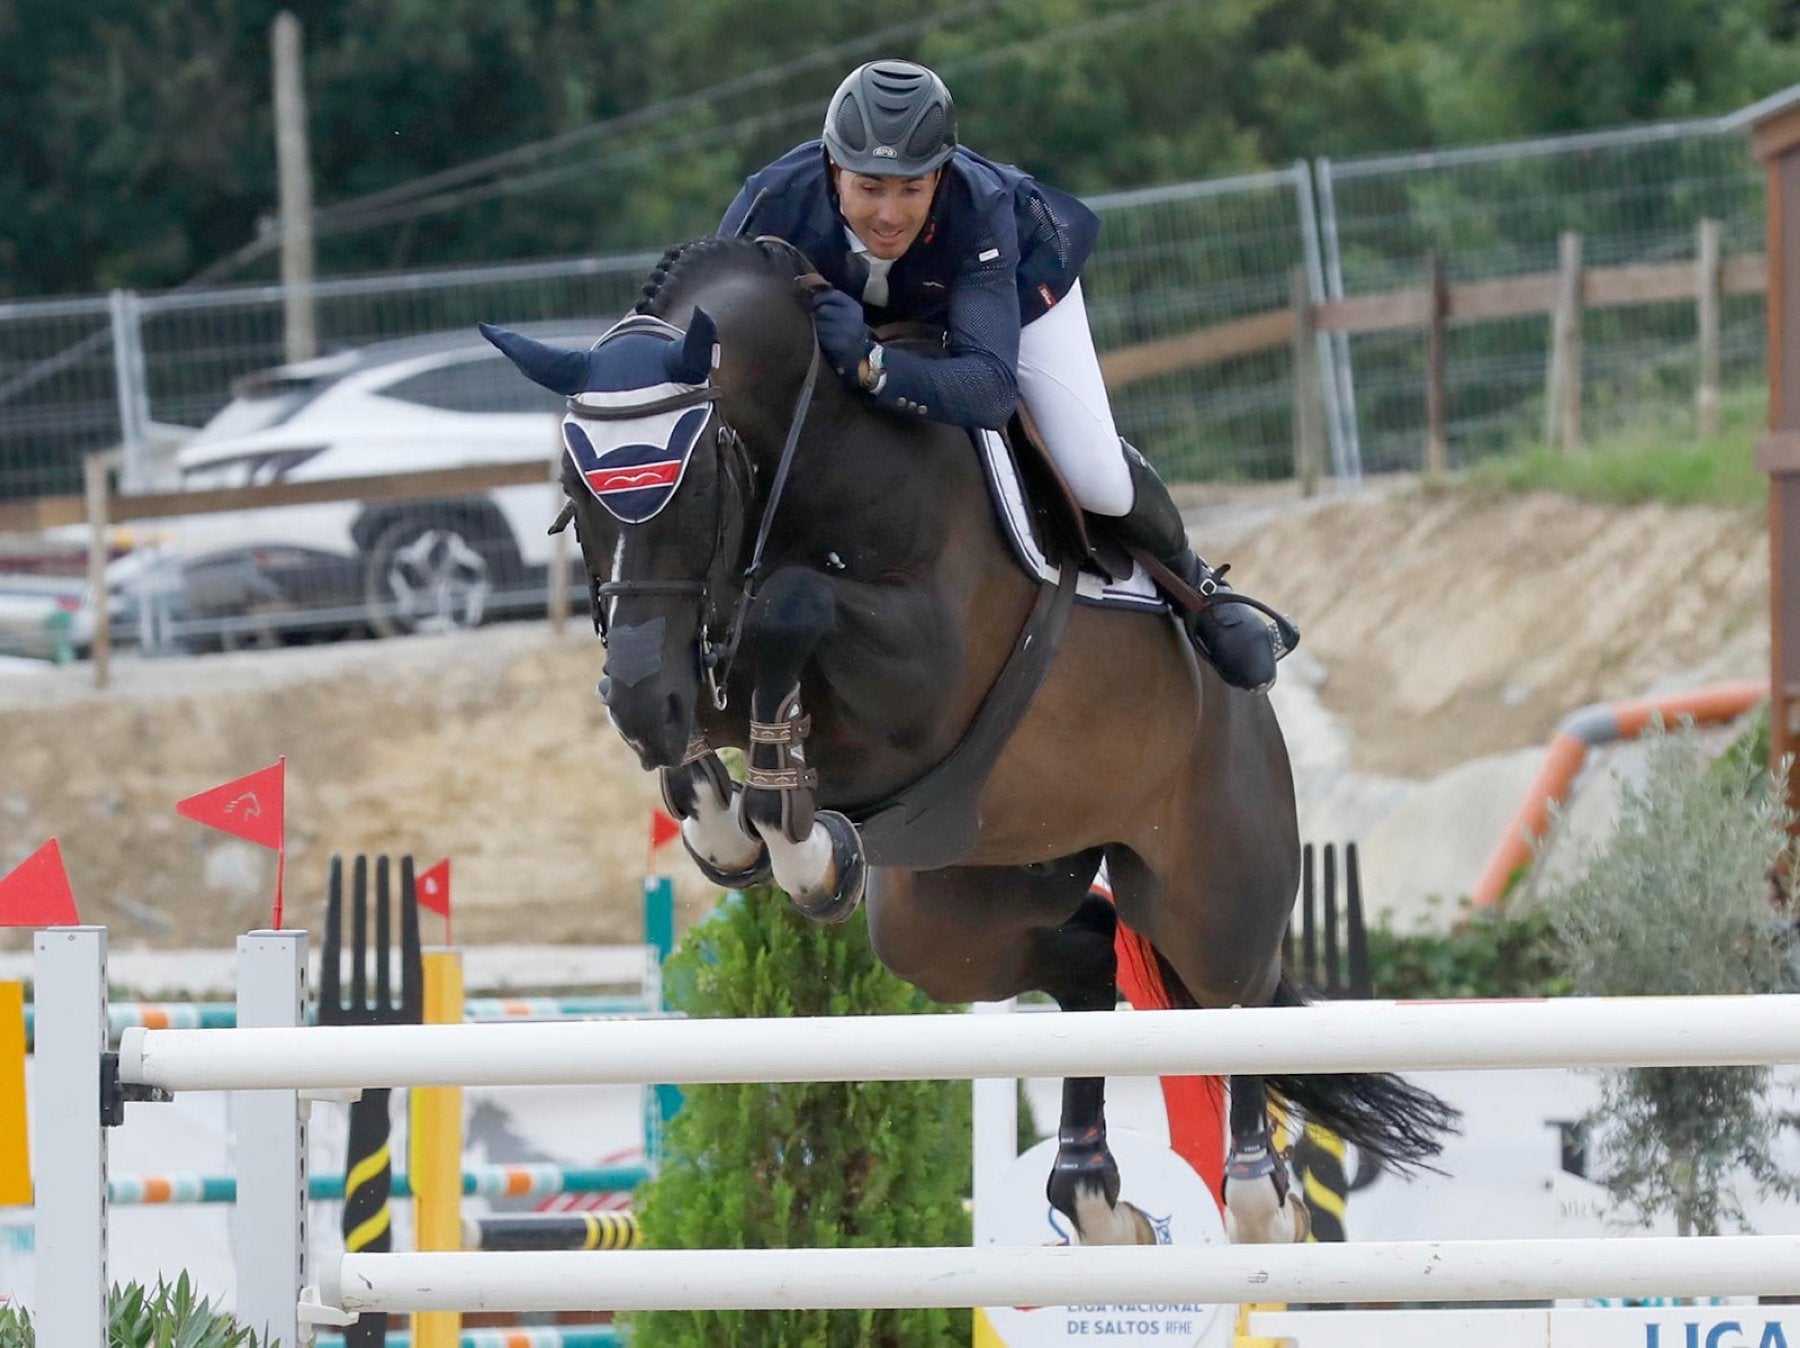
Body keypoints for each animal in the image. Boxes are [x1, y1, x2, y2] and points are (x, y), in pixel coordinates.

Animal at [482, 233, 1461, 1252]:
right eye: (574, 495)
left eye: (698, 484)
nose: (649, 706)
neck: (812, 448)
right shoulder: (694, 660)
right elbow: (707, 696)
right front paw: (731, 822)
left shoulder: (922, 673)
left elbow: (790, 603)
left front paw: (799, 841)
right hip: (959, 908)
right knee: (1090, 951)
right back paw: (1093, 1194)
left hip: (1208, 881)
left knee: (1237, 993)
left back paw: (1262, 1198)